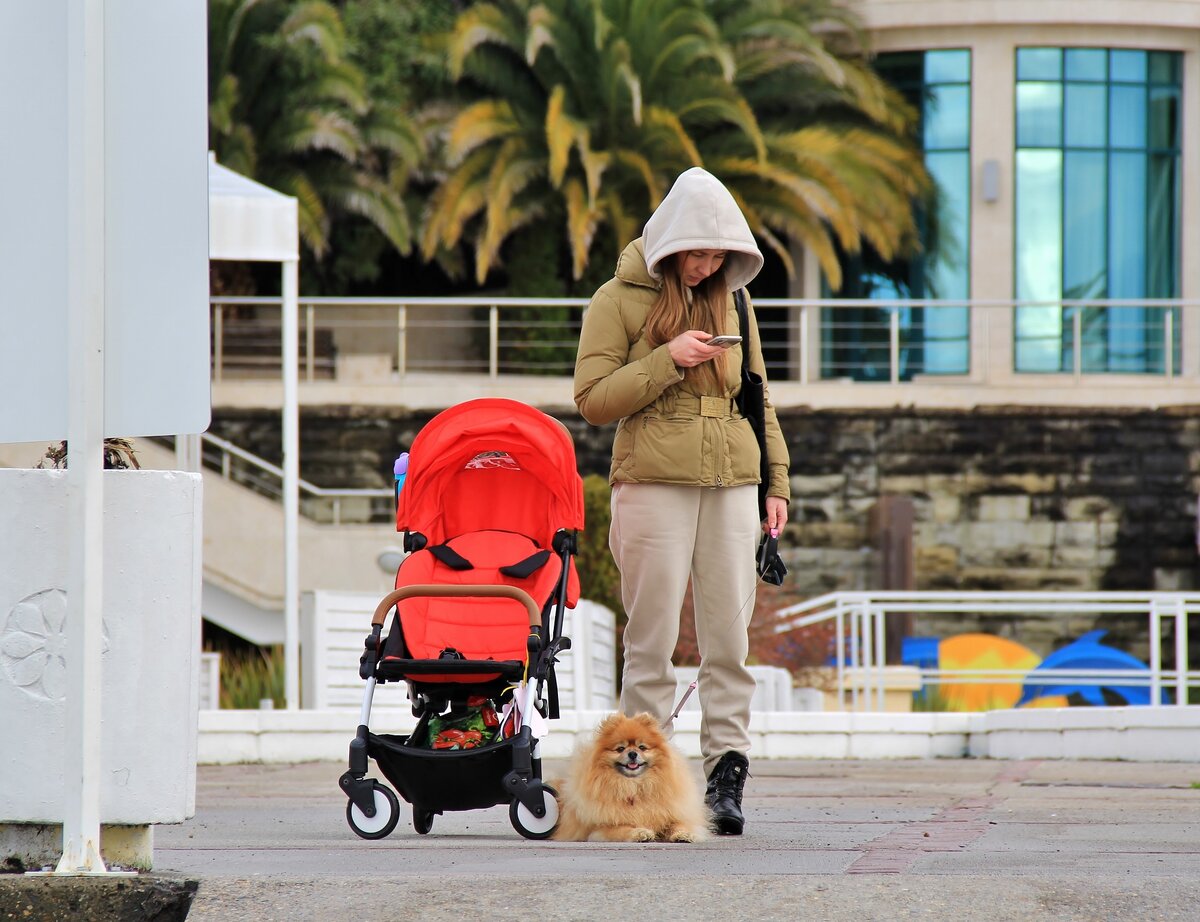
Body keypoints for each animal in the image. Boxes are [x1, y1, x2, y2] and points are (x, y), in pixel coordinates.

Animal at [554, 710, 710, 845]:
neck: (633, 785)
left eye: (642, 747)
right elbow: (622, 828)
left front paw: (684, 834)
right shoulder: (599, 829)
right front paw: (640, 832)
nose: (633, 753)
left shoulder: (671, 814)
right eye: (620, 749)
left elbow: (679, 824)